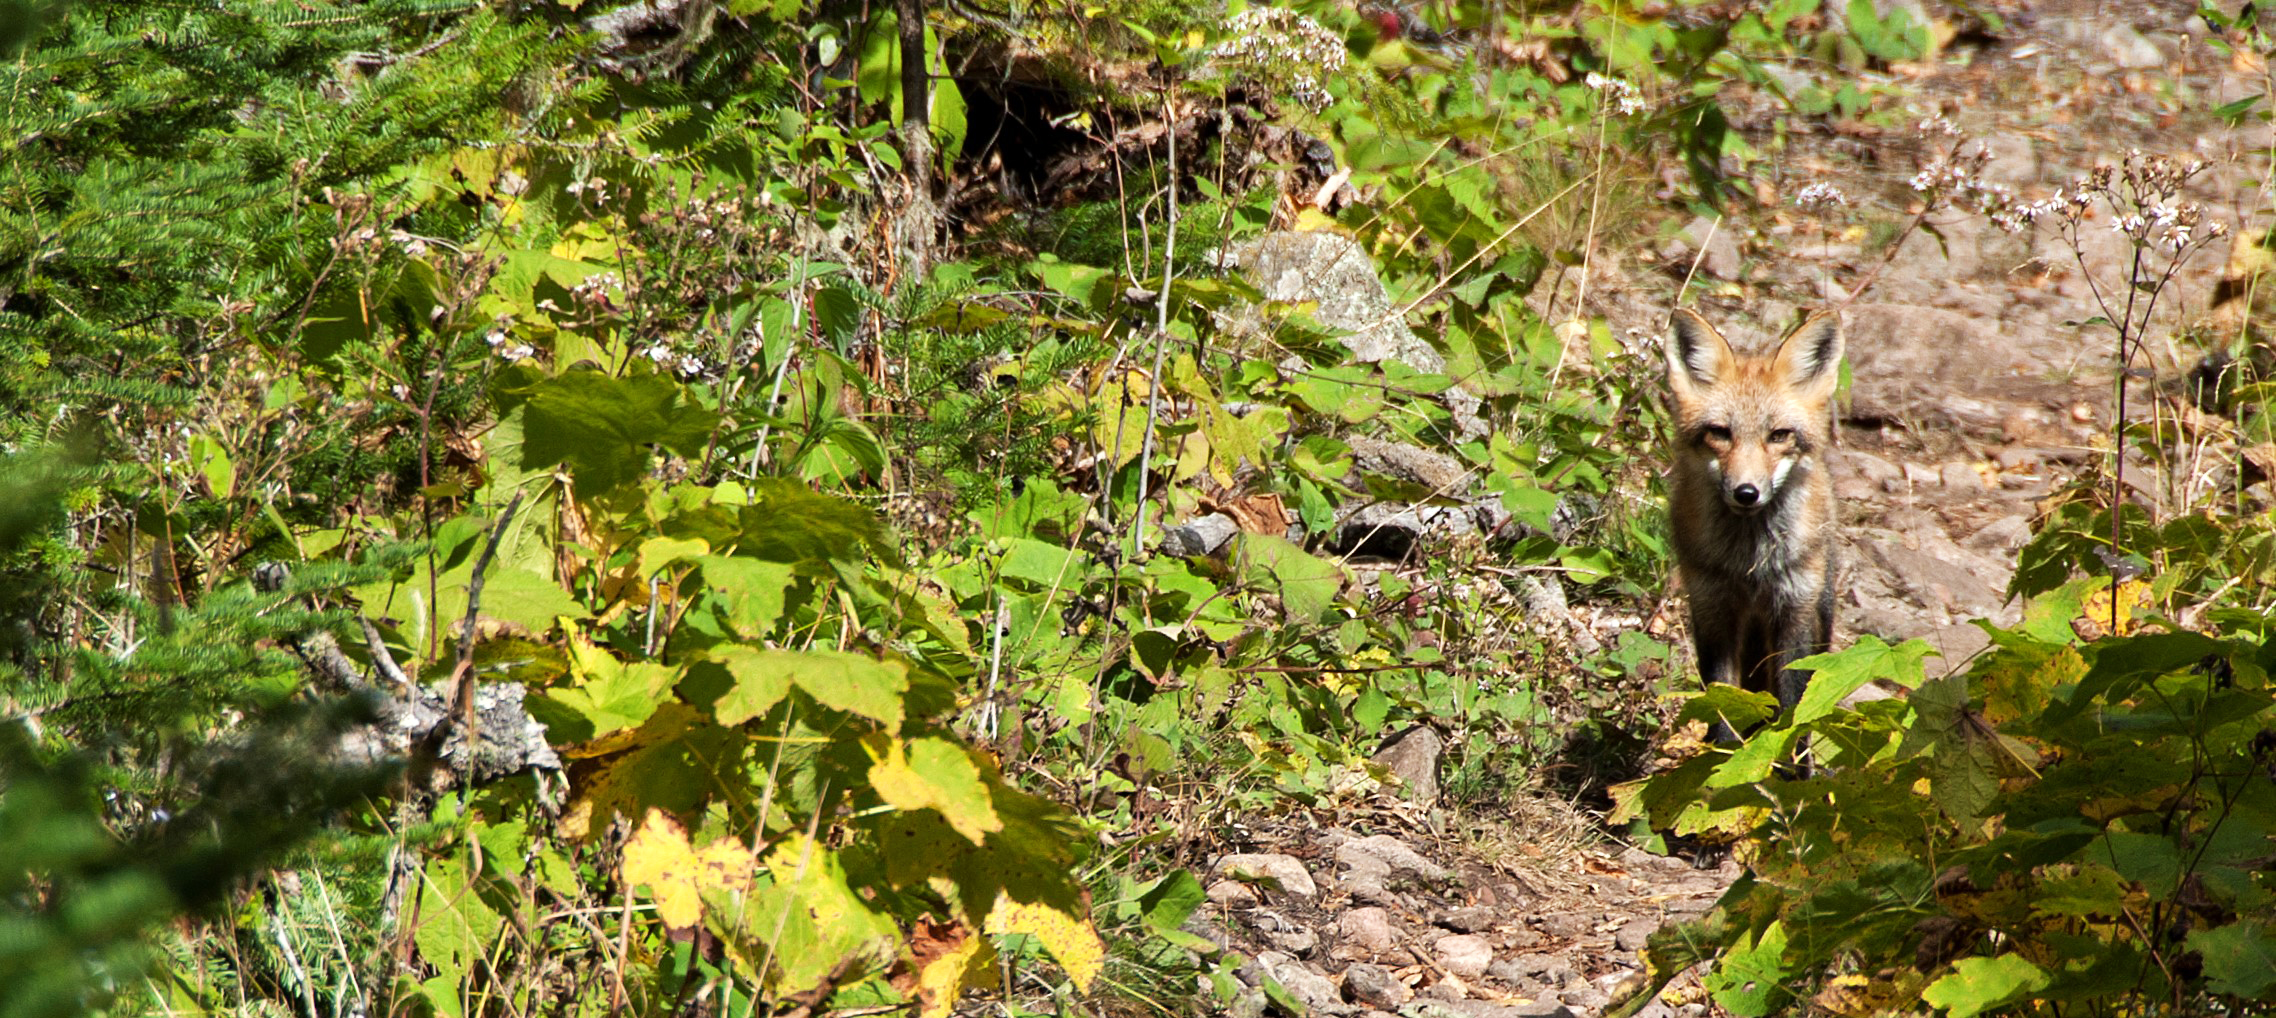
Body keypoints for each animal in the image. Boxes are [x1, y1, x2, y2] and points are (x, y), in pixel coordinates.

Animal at [1662, 308, 1844, 740]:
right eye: (1719, 433)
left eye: (1778, 435)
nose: (1746, 493)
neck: (1749, 566)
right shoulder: (1712, 608)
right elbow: (1724, 703)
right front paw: (1723, 754)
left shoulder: (1795, 610)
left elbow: (1794, 710)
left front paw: (1787, 759)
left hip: (1821, 608)